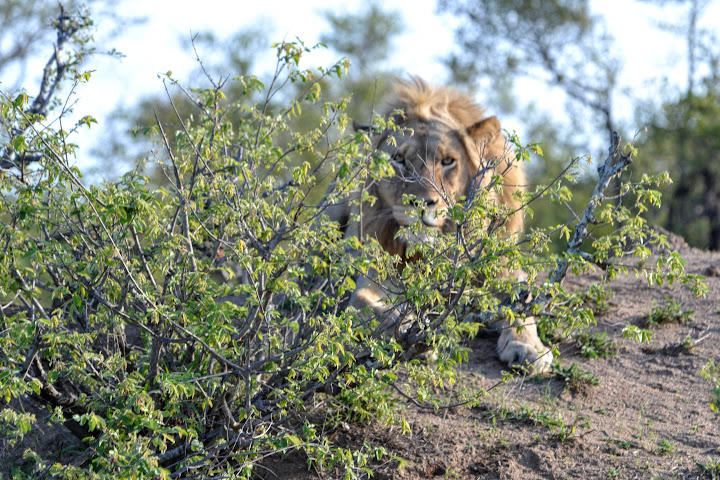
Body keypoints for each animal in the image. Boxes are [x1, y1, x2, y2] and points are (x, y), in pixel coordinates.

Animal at [326, 77, 552, 374]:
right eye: (398, 159)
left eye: (447, 161)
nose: (421, 203)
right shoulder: (374, 275)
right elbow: (364, 303)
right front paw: (410, 330)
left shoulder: (498, 268)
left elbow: (520, 302)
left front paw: (528, 348)